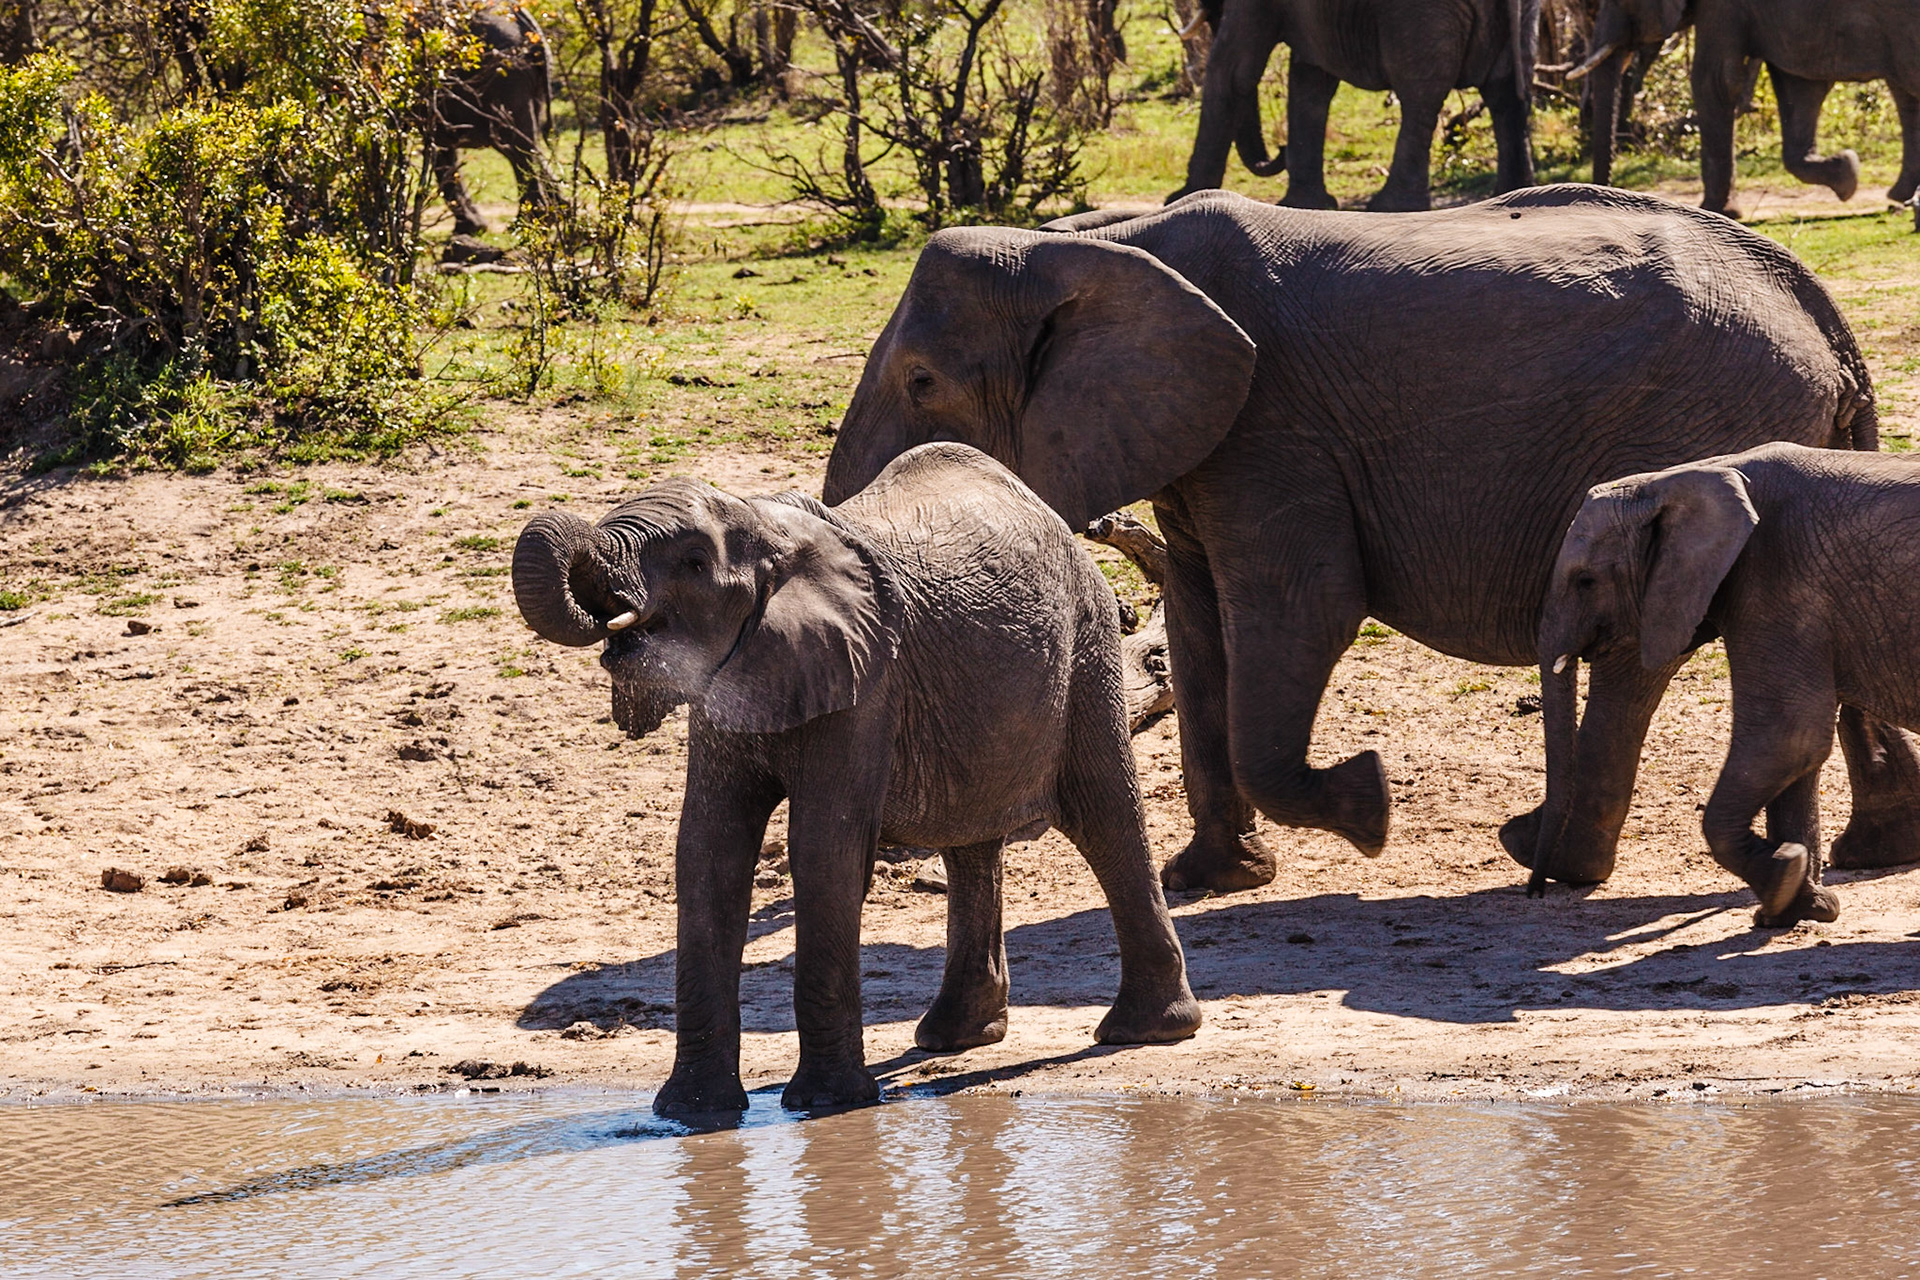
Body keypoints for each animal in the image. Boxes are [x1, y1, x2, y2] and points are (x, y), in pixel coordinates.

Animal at [510, 443, 1201, 1115]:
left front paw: (823, 1104)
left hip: (1087, 647)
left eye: (694, 563)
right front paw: (690, 1114)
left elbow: (823, 849)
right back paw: (954, 1039)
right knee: (971, 839)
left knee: (1104, 815)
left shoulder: (868, 685)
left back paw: (1147, 1031)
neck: (763, 525)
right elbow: (709, 852)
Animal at [1171, 0, 1542, 211]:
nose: (1279, 150)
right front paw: (1308, 205)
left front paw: (1180, 198)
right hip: (1524, 15)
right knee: (1507, 92)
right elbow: (1310, 82)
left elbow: (1233, 70)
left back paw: (1389, 207)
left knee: (1420, 97)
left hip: (1424, 15)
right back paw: (1513, 193)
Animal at [1537, 442, 1920, 923]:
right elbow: (1798, 755)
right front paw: (1798, 907)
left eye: (1585, 581)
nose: (1536, 891)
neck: (1682, 477)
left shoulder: (1776, 580)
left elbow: (1788, 737)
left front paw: (1783, 876)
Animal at [1569, 0, 1920, 216]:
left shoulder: (1723, 7)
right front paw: (1847, 174)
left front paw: (1714, 210)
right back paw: (1900, 196)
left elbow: (1713, 83)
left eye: (1616, 1)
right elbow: (1798, 89)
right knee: (1906, 95)